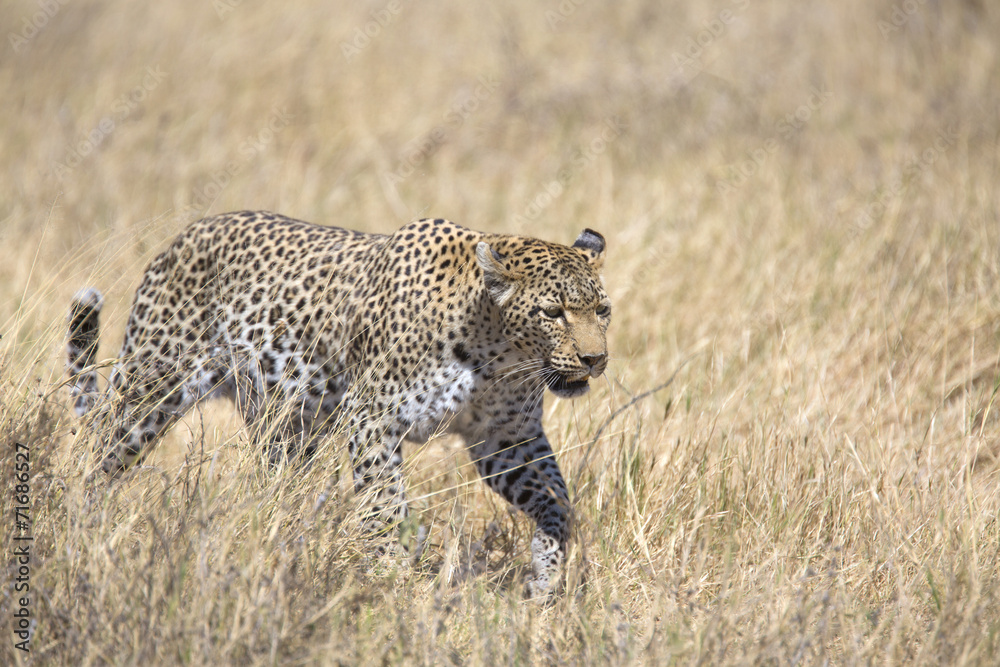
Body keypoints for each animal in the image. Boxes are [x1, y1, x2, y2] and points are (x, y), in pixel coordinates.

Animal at [67, 210, 611, 596]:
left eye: (602, 309)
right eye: (553, 312)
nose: (596, 359)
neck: (498, 354)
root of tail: (179, 239)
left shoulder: (506, 438)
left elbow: (557, 500)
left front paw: (547, 574)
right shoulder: (373, 416)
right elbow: (384, 503)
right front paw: (393, 577)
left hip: (285, 428)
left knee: (274, 487)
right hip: (150, 388)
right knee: (97, 453)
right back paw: (80, 526)